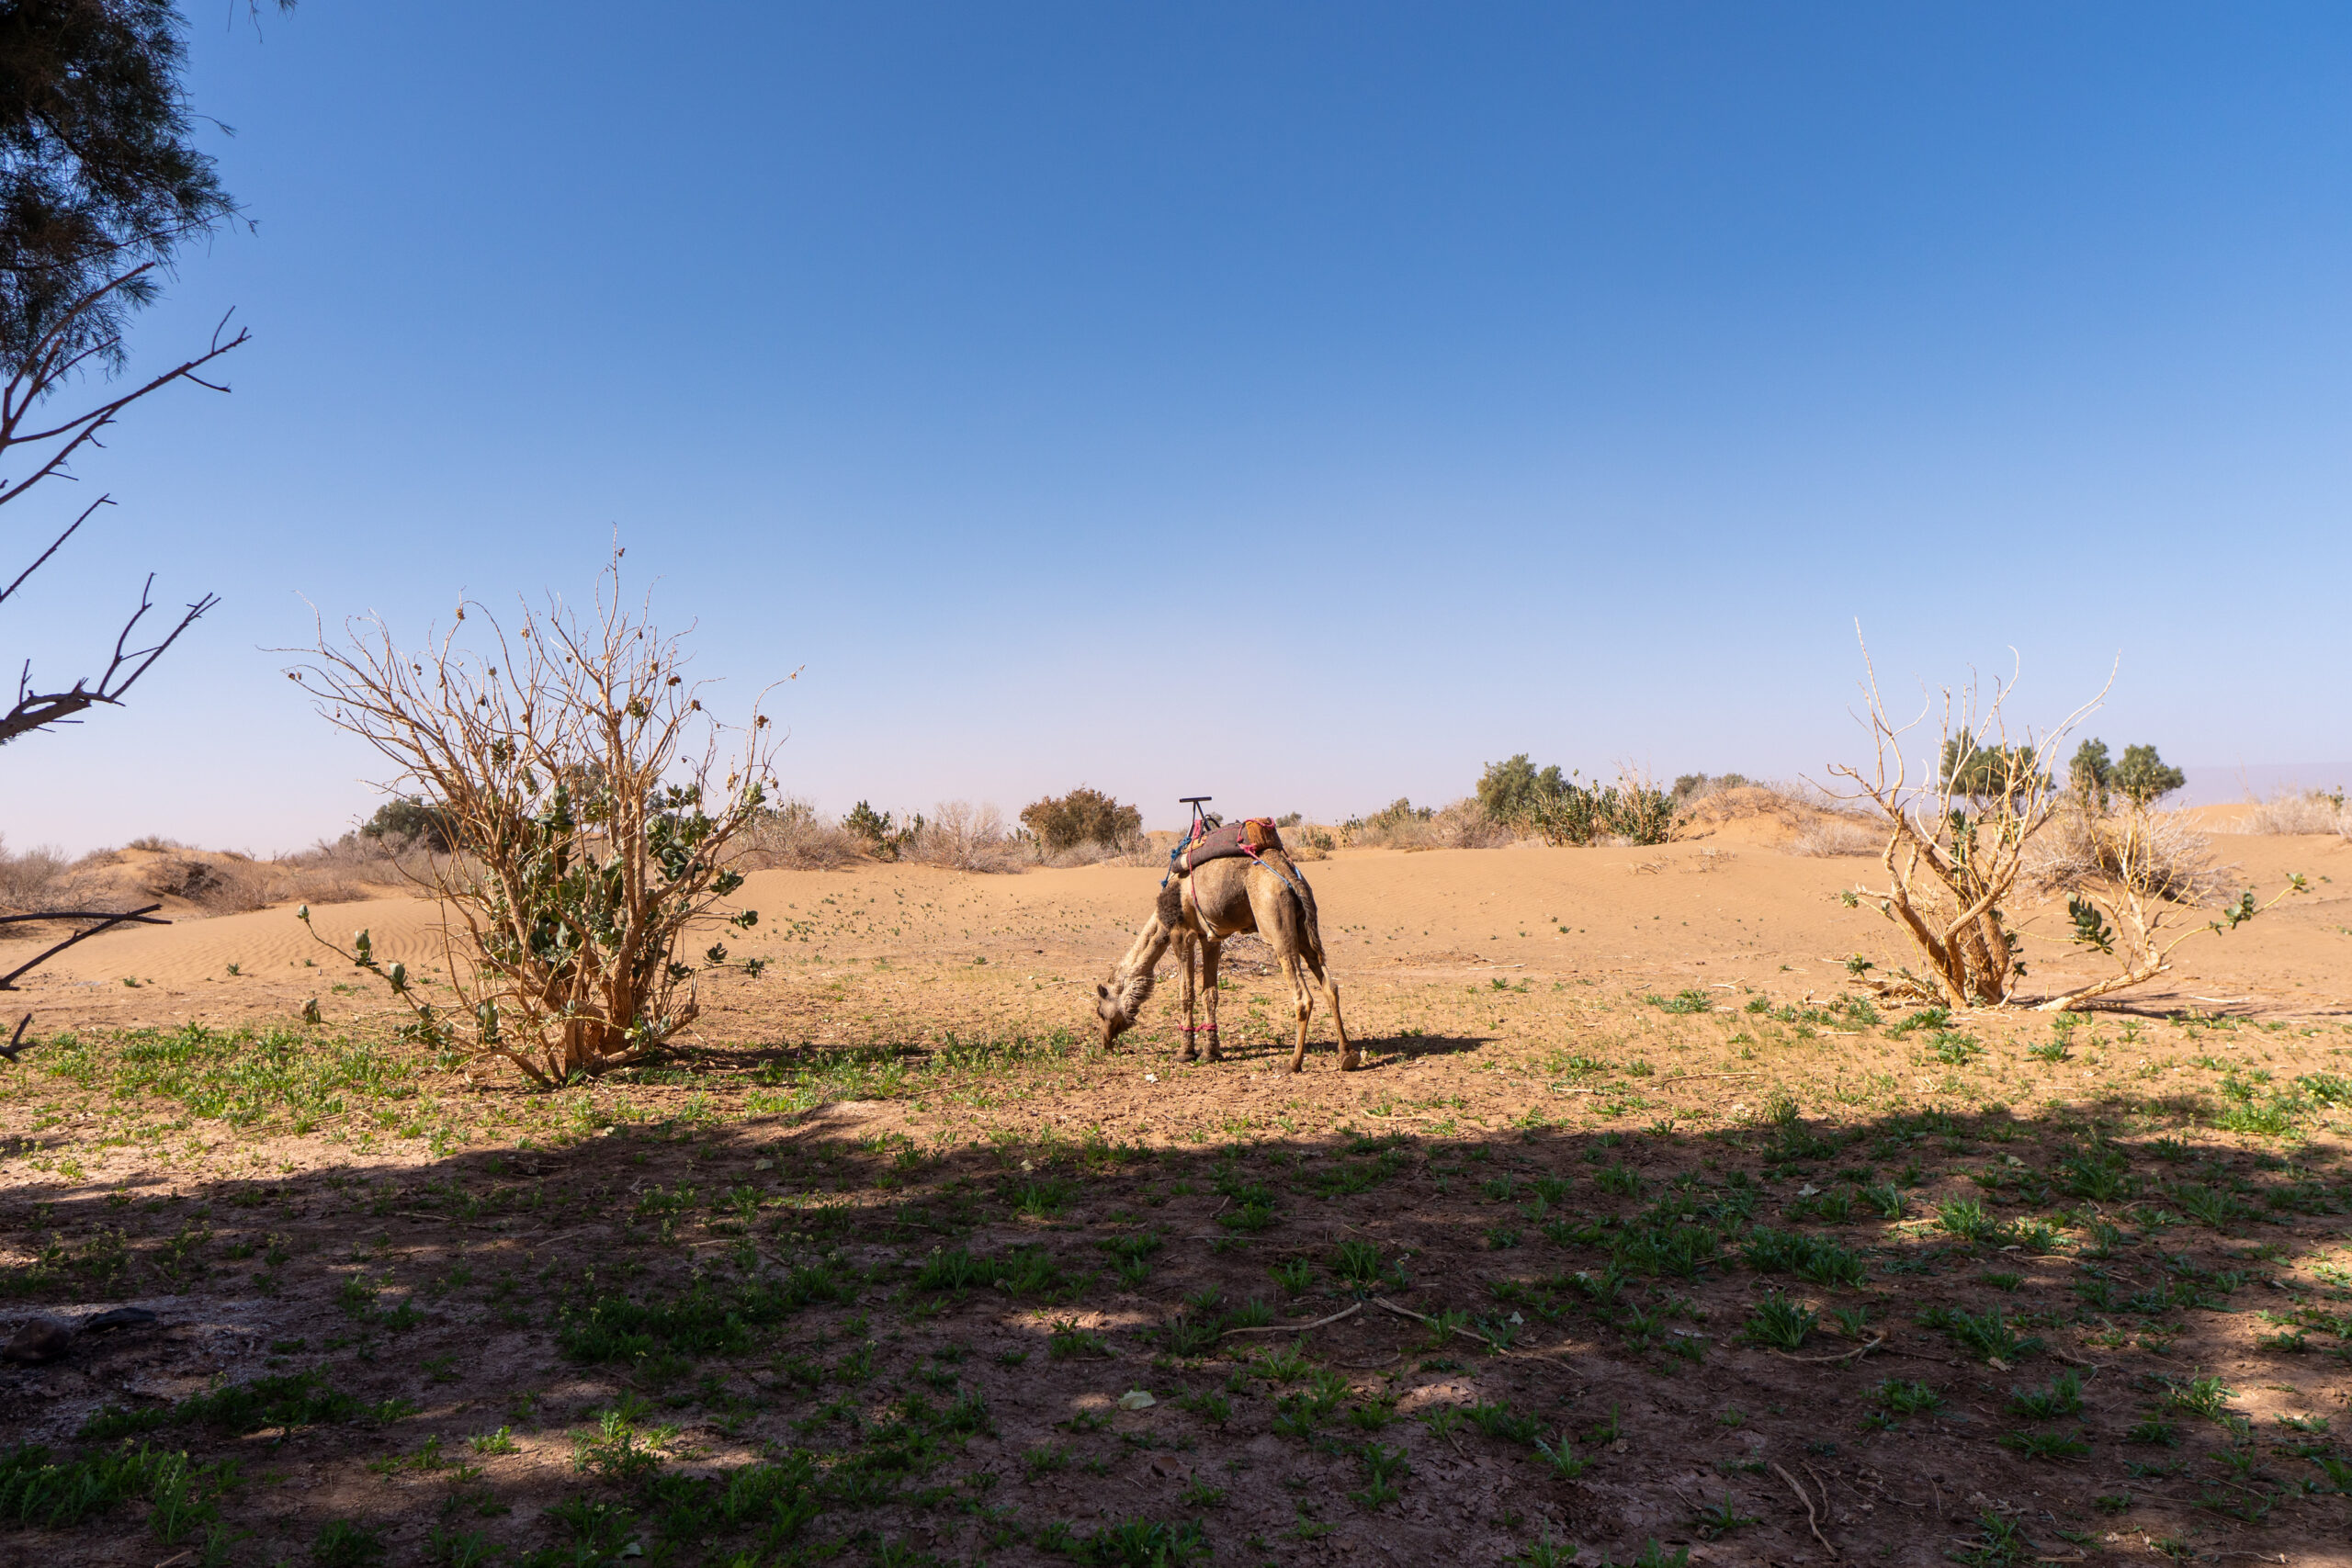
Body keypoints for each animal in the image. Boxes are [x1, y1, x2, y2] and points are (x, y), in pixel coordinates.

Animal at [1086, 851, 1354, 1072]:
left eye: (1100, 1011)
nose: (1105, 1042)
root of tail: (1291, 876)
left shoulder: (1180, 933)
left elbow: (1186, 993)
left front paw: (1185, 1052)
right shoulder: (1210, 938)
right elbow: (1210, 994)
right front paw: (1211, 1052)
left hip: (1276, 922)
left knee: (1303, 996)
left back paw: (1292, 1064)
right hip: (1304, 927)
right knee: (1330, 985)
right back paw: (1347, 1055)